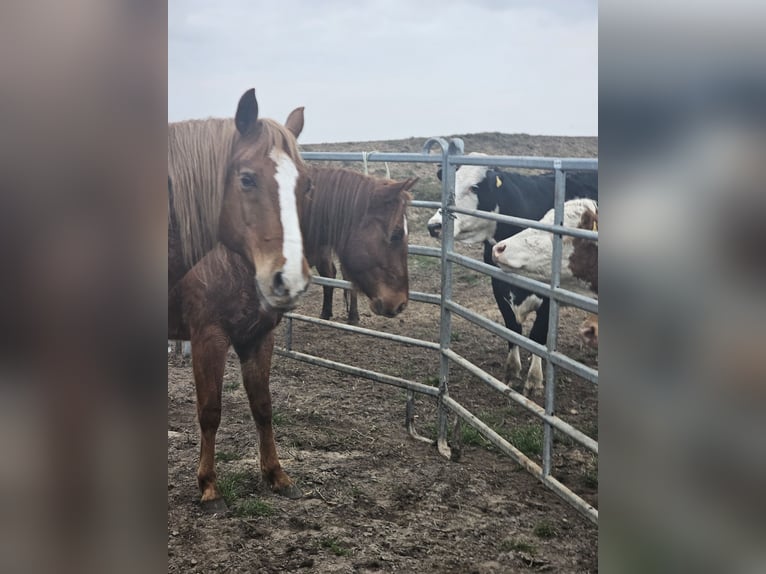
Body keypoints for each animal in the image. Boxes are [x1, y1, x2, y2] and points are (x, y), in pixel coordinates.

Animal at [169, 90, 312, 512]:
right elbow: (210, 411)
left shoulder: (258, 337)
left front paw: (276, 474)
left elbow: (263, 407)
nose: (288, 279)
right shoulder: (208, 338)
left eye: (307, 186)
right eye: (246, 178)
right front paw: (209, 487)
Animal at [426, 153, 600, 396]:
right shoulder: (498, 285)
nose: (434, 226)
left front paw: (534, 379)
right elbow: (512, 329)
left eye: (474, 187)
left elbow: (537, 335)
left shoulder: (549, 297)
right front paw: (512, 371)